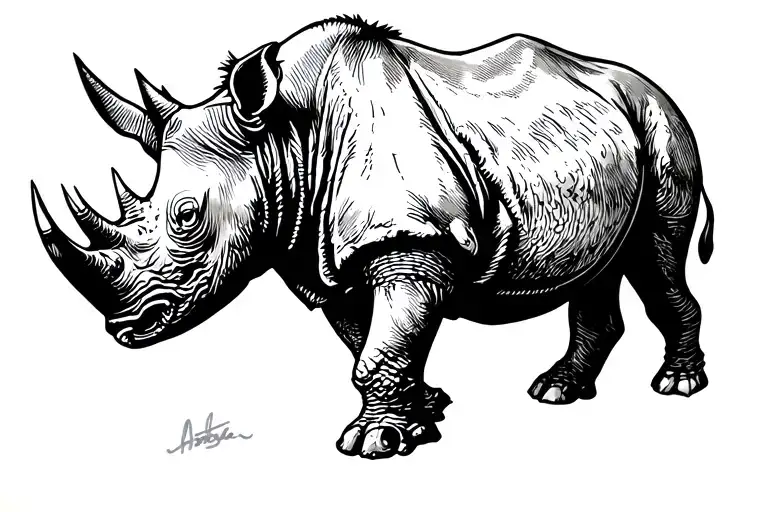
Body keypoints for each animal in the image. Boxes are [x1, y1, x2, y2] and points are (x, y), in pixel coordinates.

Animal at [31, 15, 714, 459]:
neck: (284, 137)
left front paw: (372, 445)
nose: (124, 330)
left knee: (657, 255)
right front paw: (424, 412)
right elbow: (368, 340)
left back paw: (676, 386)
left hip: (664, 126)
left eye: (187, 218)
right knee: (601, 268)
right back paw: (556, 392)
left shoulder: (411, 238)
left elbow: (382, 347)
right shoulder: (319, 253)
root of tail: (653, 88)